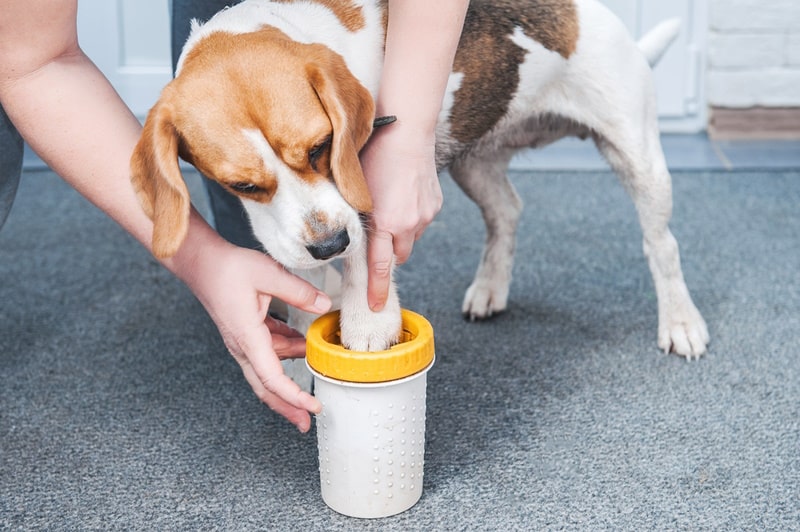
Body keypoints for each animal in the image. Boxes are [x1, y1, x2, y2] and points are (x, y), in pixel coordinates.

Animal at [130, 0, 708, 366]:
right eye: (242, 186)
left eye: (321, 147)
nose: (329, 245)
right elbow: (304, 274)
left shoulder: (368, 186)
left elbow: (368, 256)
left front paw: (367, 323)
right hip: (470, 158)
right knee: (507, 210)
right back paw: (490, 286)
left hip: (637, 156)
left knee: (663, 245)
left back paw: (681, 322)